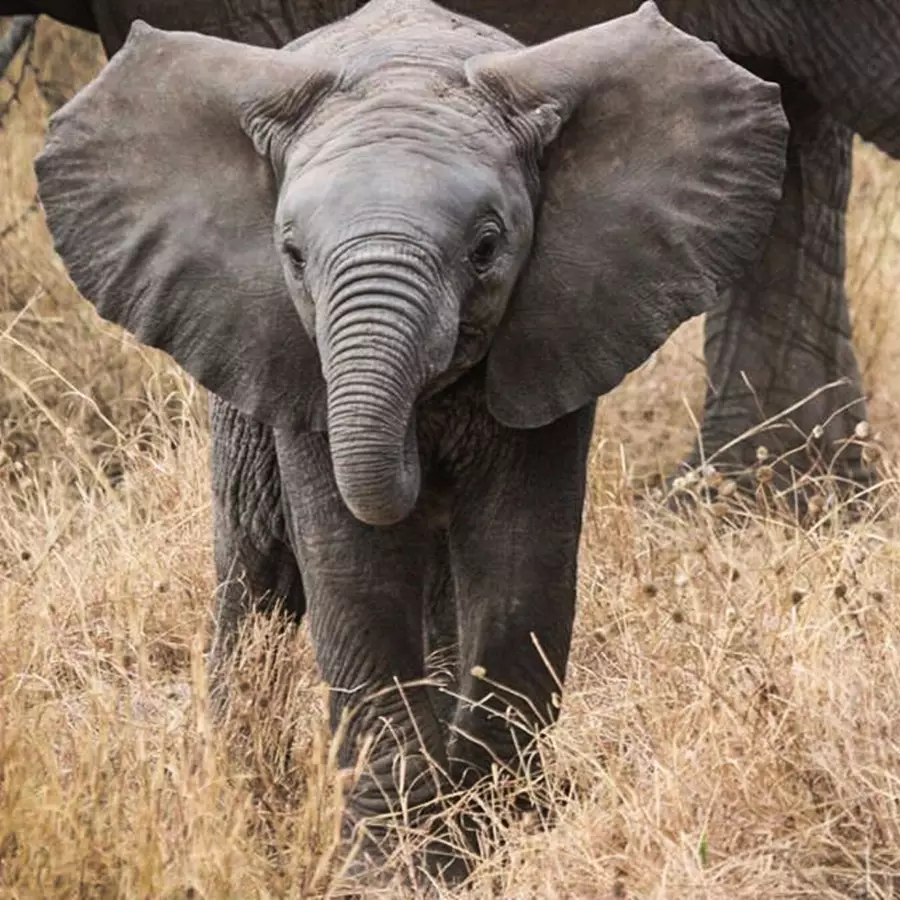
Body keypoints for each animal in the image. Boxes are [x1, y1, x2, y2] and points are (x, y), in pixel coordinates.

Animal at [34, 0, 789, 881]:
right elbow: (354, 571)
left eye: (487, 247)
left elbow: (520, 560)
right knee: (253, 567)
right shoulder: (293, 363)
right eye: (292, 256)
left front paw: (494, 837)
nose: (416, 453)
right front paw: (395, 868)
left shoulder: (561, 327)